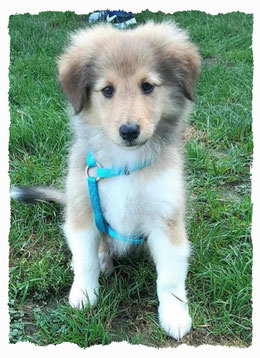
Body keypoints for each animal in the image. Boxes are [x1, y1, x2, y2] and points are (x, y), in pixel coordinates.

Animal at [10, 21, 201, 342]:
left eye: (147, 86)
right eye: (107, 90)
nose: (129, 130)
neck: (124, 164)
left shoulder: (167, 219)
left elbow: (171, 278)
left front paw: (175, 314)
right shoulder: (83, 209)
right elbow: (84, 259)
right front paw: (84, 294)